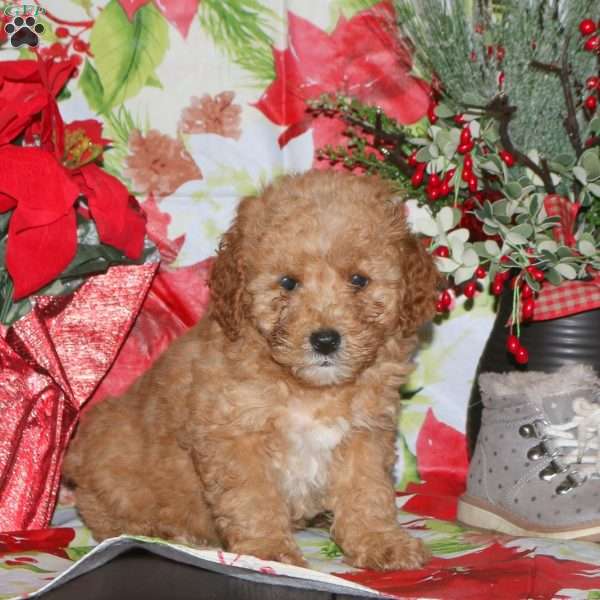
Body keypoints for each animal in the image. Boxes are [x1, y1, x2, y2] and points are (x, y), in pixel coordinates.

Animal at [63, 170, 438, 572]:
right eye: (288, 283)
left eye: (359, 280)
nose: (324, 340)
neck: (309, 389)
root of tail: (74, 461)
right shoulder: (234, 436)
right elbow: (253, 497)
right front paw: (269, 550)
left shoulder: (364, 434)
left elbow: (367, 492)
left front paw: (381, 541)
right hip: (111, 461)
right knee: (108, 518)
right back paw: (162, 533)